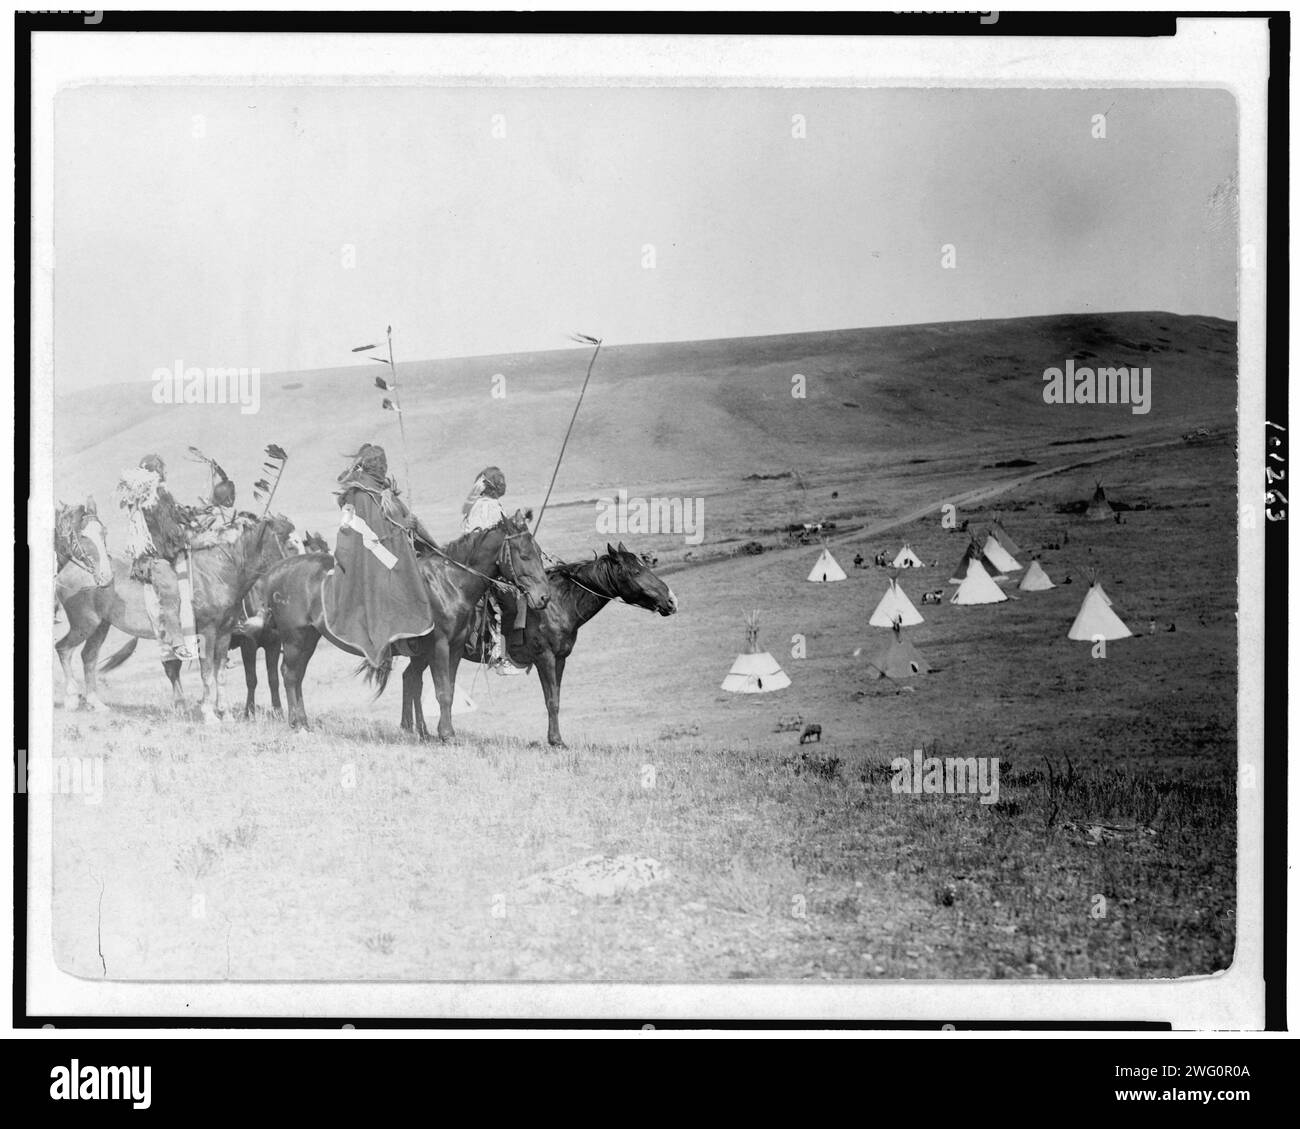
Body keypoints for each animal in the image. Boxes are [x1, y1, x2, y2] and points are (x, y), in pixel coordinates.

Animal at [55, 515, 295, 717]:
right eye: (289, 543)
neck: (217, 574)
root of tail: (71, 570)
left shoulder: (225, 634)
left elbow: (220, 673)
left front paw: (224, 713)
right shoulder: (208, 632)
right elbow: (207, 672)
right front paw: (209, 714)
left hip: (100, 626)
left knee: (88, 657)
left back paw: (96, 703)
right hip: (85, 624)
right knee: (64, 649)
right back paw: (71, 699)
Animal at [263, 509, 548, 738]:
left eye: (538, 553)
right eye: (524, 555)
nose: (543, 597)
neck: (450, 582)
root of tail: (276, 571)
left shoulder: (455, 648)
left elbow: (447, 688)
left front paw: (440, 731)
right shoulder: (439, 646)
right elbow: (442, 691)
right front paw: (446, 734)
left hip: (308, 639)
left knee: (297, 676)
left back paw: (303, 722)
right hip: (295, 639)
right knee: (289, 674)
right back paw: (297, 724)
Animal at [397, 541, 681, 743]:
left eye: (646, 566)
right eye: (636, 571)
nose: (671, 600)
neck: (558, 603)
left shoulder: (561, 659)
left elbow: (556, 697)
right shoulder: (545, 657)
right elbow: (551, 700)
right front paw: (556, 741)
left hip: (424, 654)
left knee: (411, 679)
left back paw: (418, 731)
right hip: (432, 651)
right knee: (414, 680)